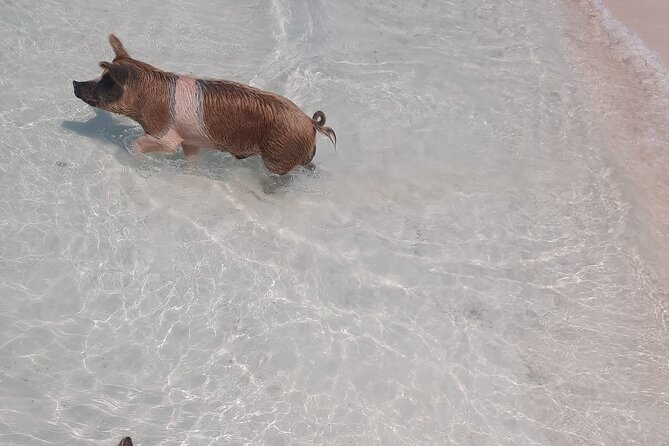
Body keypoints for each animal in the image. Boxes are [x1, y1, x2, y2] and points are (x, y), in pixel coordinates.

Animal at [73, 34, 336, 175]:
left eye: (106, 81)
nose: (74, 83)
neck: (147, 99)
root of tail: (311, 123)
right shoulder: (191, 141)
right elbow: (191, 159)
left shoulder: (166, 136)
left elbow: (140, 143)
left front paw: (134, 160)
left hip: (278, 156)